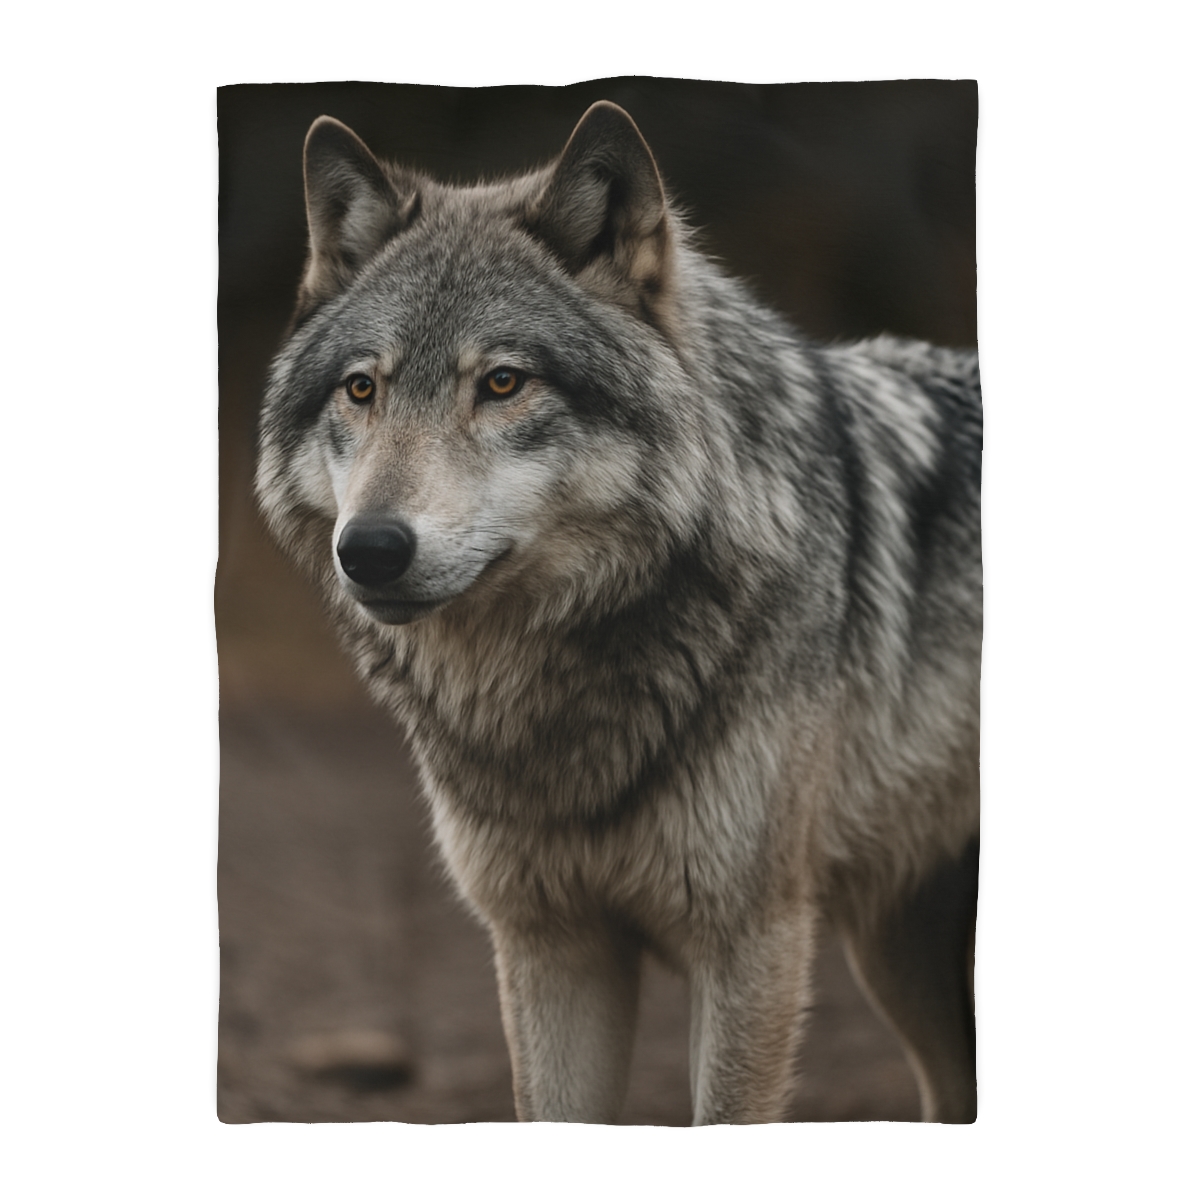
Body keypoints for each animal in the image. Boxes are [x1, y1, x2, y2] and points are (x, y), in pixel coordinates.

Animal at [255, 100, 982, 1124]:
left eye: (503, 382)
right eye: (363, 387)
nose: (369, 549)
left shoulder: (752, 946)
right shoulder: (551, 947)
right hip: (901, 958)